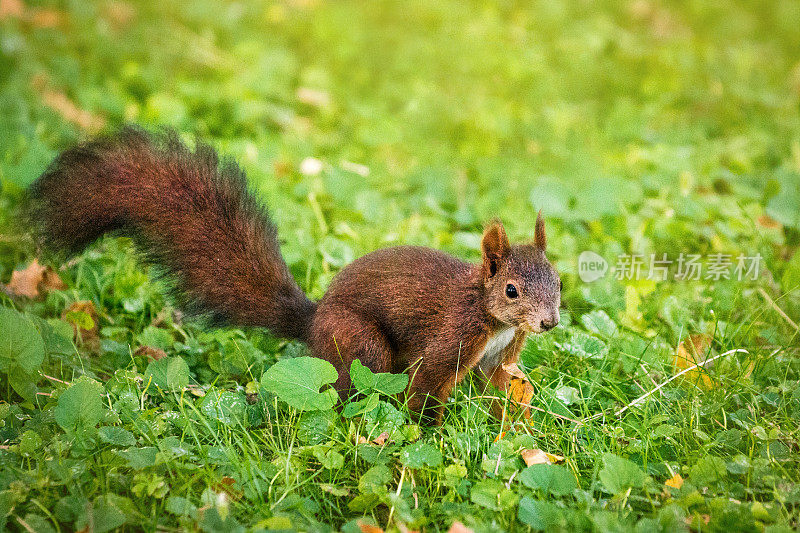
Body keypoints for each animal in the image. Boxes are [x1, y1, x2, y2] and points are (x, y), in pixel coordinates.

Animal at [26, 127, 564, 422]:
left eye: (559, 282)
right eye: (511, 290)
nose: (549, 322)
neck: (491, 316)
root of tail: (313, 321)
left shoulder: (498, 357)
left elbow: (502, 387)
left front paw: (518, 419)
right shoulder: (452, 338)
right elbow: (426, 389)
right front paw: (426, 432)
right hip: (362, 345)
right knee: (352, 388)